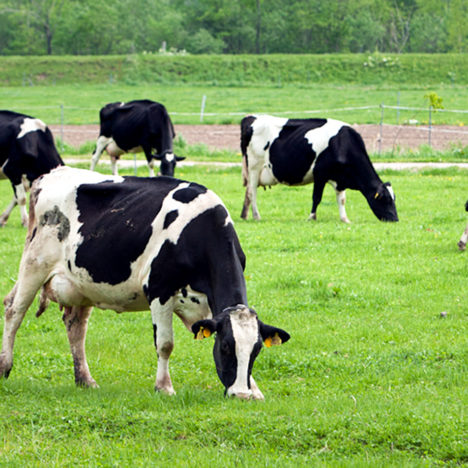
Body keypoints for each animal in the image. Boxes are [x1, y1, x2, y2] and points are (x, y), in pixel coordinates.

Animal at [0, 166, 290, 400]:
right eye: (227, 347)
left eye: (256, 350)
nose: (240, 395)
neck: (198, 232)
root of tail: (49, 175)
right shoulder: (160, 290)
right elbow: (165, 344)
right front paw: (164, 387)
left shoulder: (205, 304)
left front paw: (254, 389)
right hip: (35, 264)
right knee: (14, 310)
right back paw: (5, 366)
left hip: (82, 284)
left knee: (76, 328)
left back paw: (85, 380)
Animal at [241, 114, 398, 222]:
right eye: (385, 199)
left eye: (394, 198)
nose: (395, 219)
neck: (342, 144)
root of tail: (252, 118)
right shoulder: (320, 174)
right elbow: (316, 197)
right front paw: (312, 217)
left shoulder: (339, 178)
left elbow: (341, 199)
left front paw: (345, 219)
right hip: (254, 167)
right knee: (252, 192)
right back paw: (256, 216)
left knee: (248, 192)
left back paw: (245, 216)